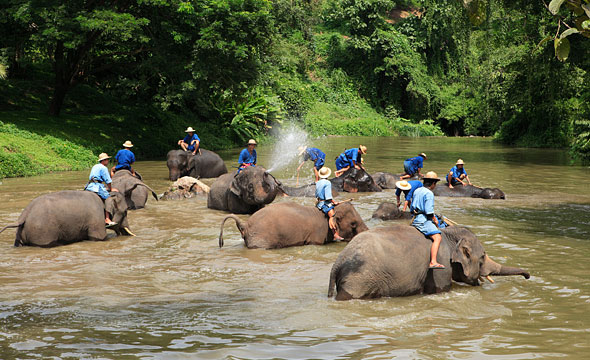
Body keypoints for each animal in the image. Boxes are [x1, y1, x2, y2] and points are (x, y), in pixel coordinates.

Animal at [0, 191, 134, 248]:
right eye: (126, 211)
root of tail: (24, 214)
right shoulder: (96, 219)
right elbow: (99, 238)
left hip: (21, 233)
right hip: (42, 232)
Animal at [328, 224, 532, 300]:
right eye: (482, 257)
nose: (528, 276)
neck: (448, 234)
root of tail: (338, 261)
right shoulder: (439, 265)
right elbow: (440, 290)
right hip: (358, 280)